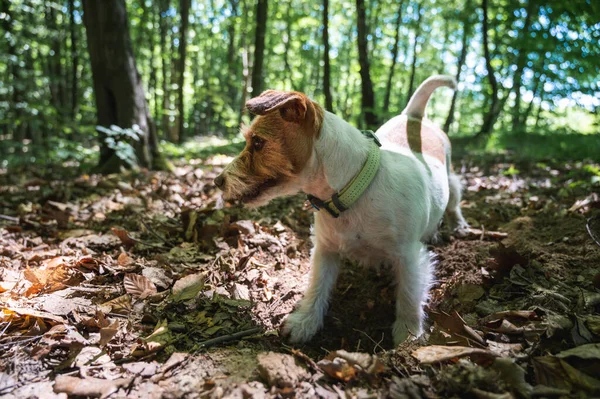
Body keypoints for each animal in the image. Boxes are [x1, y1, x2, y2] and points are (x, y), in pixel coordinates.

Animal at [214, 76, 468, 346]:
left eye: (258, 142)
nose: (217, 181)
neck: (353, 189)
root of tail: (414, 116)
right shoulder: (325, 250)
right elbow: (317, 285)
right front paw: (305, 322)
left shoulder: (409, 257)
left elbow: (409, 296)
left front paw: (408, 336)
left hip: (451, 181)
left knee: (453, 202)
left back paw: (458, 226)